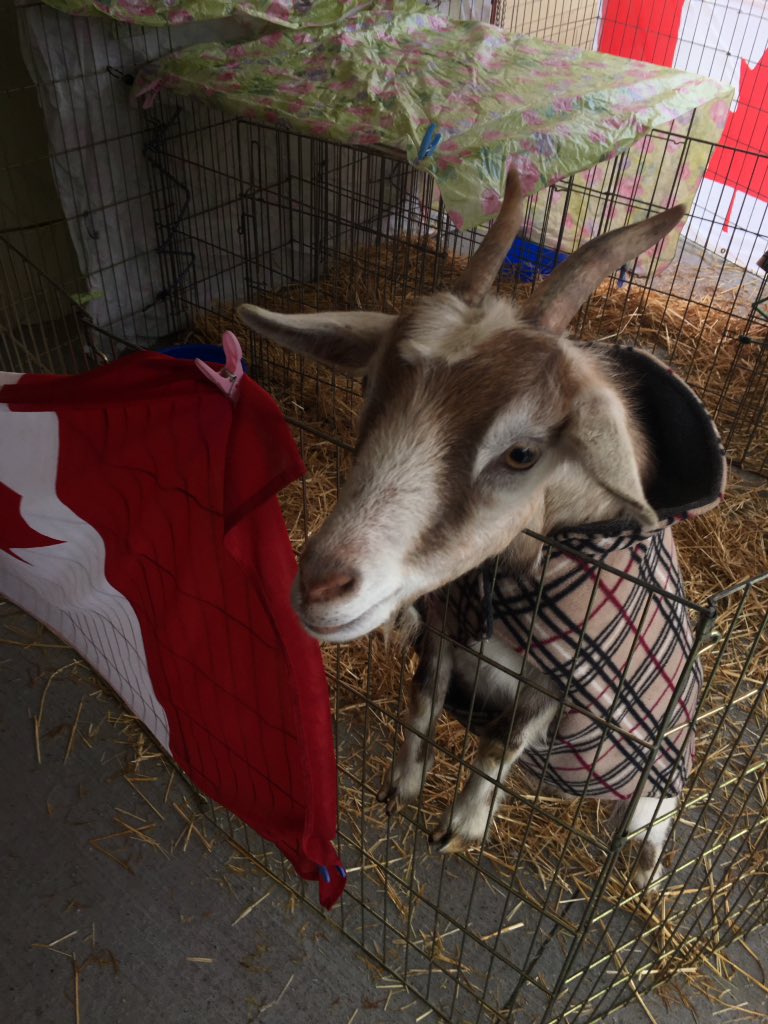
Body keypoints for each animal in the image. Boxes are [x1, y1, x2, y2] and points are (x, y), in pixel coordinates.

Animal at [238, 172, 723, 887]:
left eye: (523, 453)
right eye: (370, 386)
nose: (322, 587)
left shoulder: (563, 687)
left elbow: (502, 740)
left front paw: (463, 826)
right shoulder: (444, 625)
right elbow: (422, 694)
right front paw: (403, 786)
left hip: (659, 773)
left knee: (649, 821)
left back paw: (644, 872)